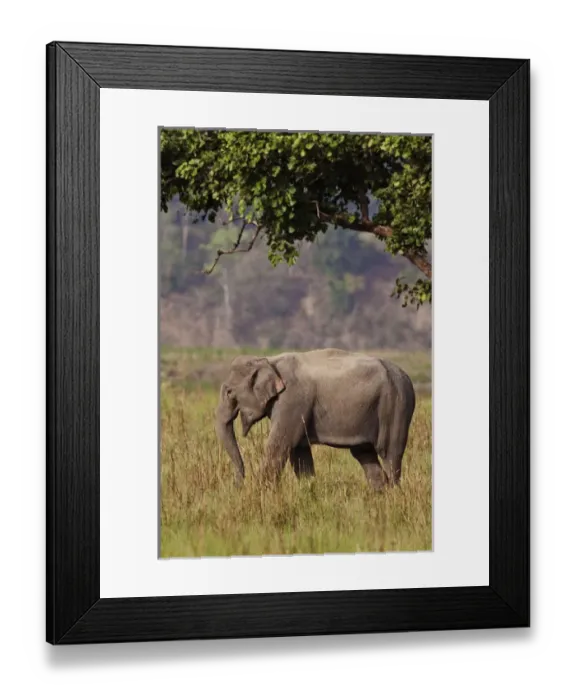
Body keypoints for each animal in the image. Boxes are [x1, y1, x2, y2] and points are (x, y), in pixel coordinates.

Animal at [214, 348, 416, 490]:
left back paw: (393, 495)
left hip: (396, 406)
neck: (269, 360)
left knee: (390, 453)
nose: (238, 485)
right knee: (364, 453)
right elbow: (299, 452)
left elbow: (279, 445)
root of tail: (407, 377)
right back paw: (380, 496)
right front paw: (308, 492)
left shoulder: (292, 401)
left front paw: (260, 494)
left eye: (229, 392)